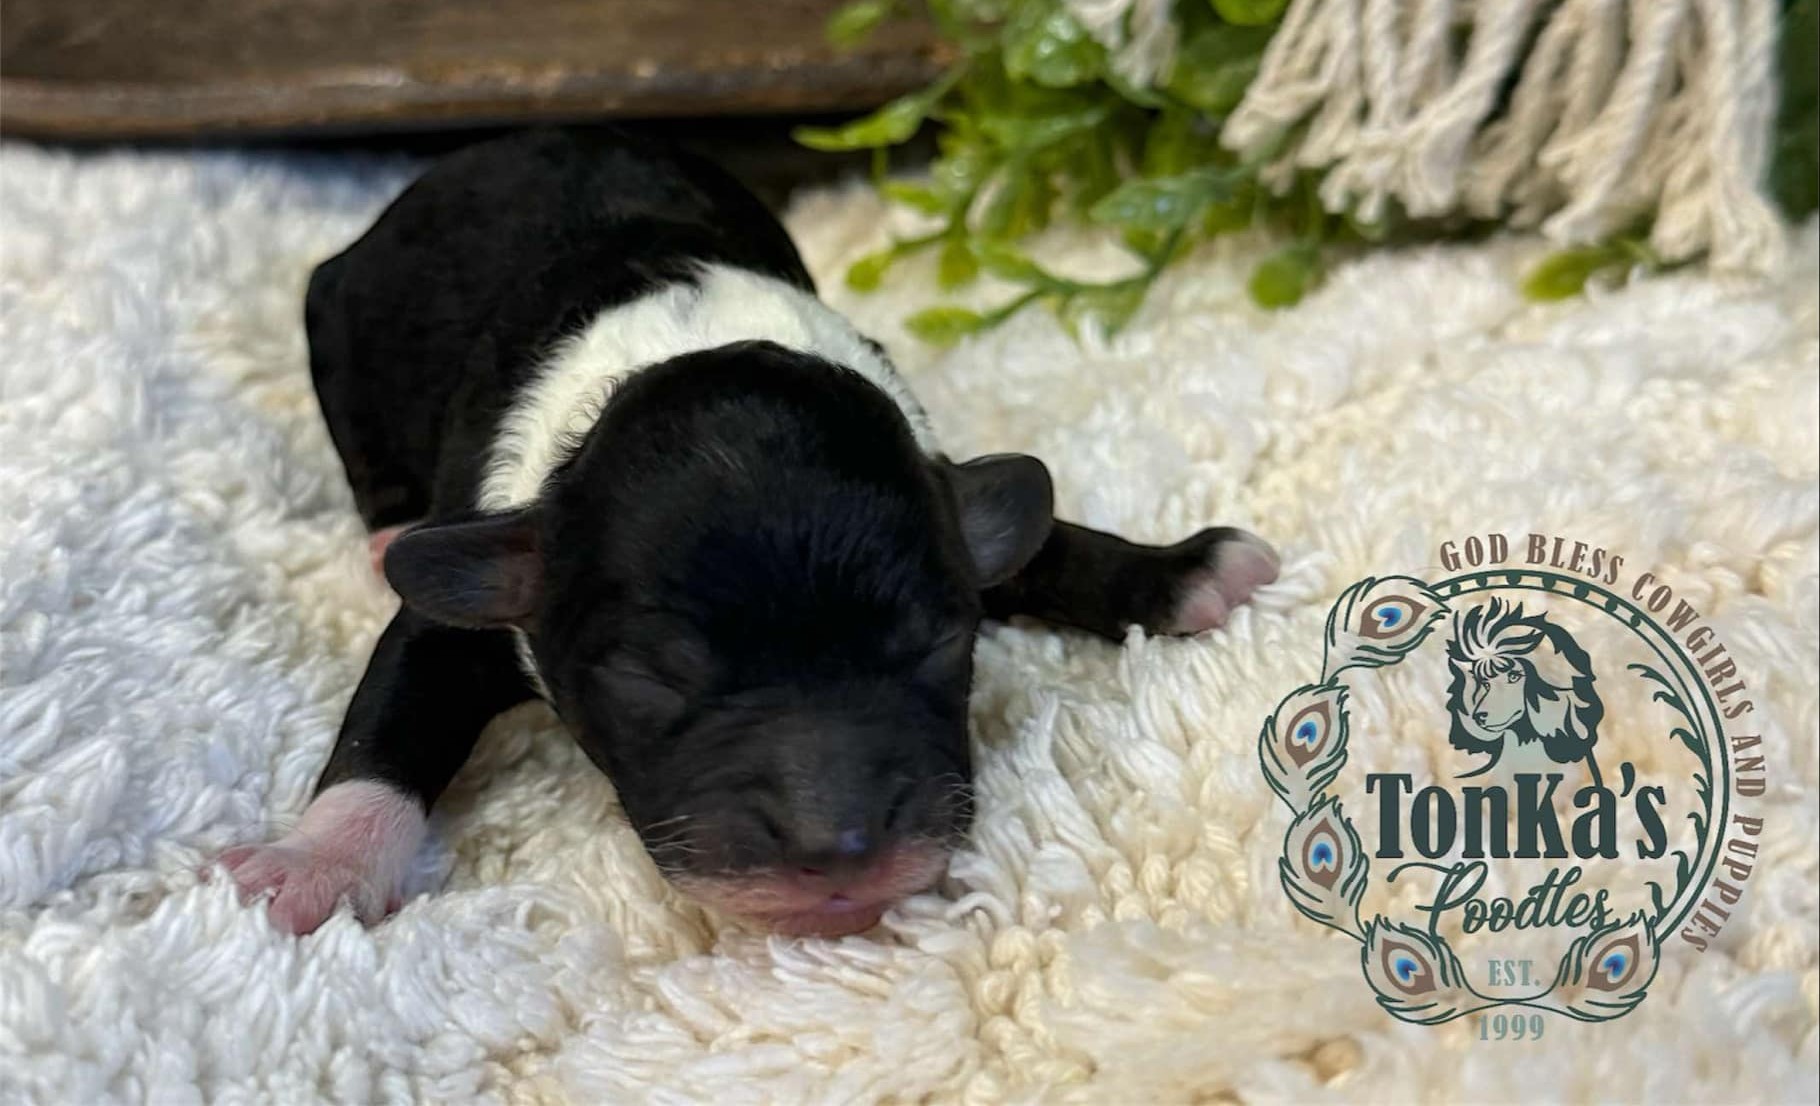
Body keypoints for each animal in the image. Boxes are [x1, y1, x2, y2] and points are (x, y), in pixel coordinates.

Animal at [216, 131, 1281, 938]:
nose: (836, 850)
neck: (680, 331)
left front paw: (1183, 569)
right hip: (336, 326)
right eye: (650, 677)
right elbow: (387, 726)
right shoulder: (480, 592)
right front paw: (316, 863)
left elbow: (1039, 538)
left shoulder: (937, 494)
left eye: (940, 645)